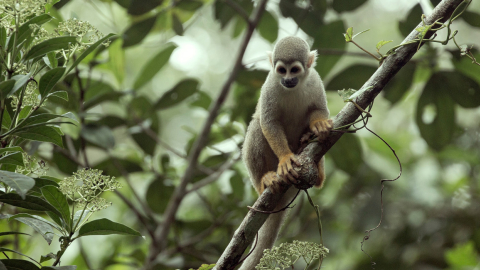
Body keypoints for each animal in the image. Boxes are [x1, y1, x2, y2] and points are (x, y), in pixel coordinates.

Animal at [239, 36, 330, 270]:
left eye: (294, 70)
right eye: (282, 70)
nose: (288, 80)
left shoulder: (315, 80)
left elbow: (319, 110)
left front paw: (319, 124)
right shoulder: (270, 84)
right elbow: (268, 122)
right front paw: (286, 159)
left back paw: (316, 168)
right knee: (257, 125)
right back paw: (265, 179)